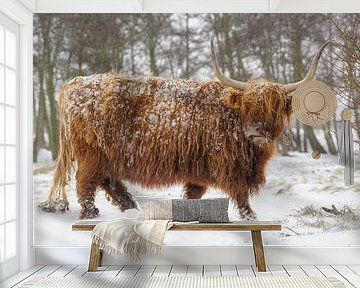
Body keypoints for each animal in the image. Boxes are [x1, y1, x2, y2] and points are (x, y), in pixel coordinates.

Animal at [40, 38, 332, 218]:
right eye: (248, 106)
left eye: (275, 107)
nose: (257, 132)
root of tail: (74, 82)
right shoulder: (230, 166)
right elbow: (240, 195)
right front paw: (251, 217)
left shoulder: (199, 171)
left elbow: (194, 194)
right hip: (91, 154)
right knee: (86, 183)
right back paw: (93, 213)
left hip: (106, 156)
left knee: (108, 181)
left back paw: (131, 208)